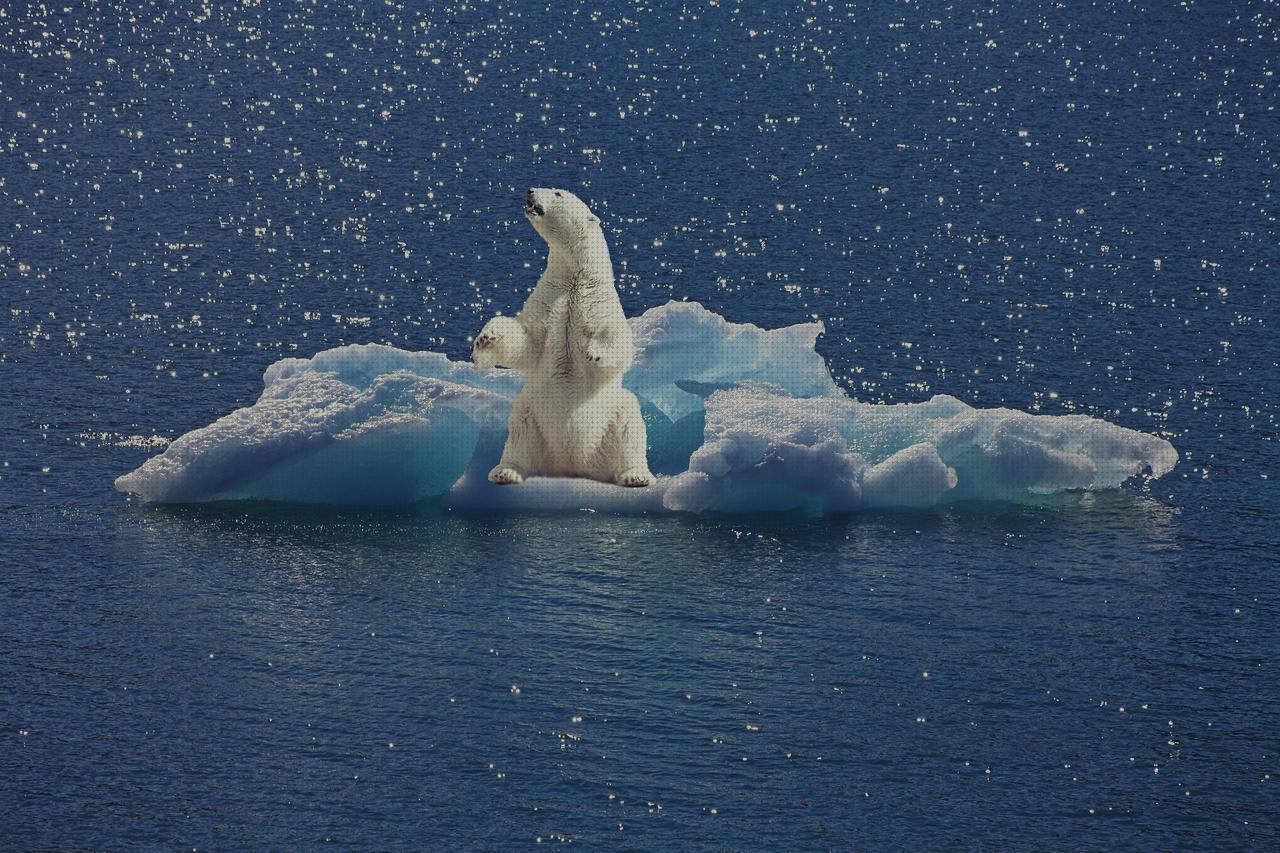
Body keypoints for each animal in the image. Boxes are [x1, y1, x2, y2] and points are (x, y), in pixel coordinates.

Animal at [471, 189, 655, 489]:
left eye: (557, 192)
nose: (530, 190)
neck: (574, 277)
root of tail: (572, 464)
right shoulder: (550, 299)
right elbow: (528, 341)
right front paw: (485, 339)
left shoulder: (599, 301)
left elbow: (617, 338)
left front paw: (594, 352)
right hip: (532, 413)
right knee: (519, 431)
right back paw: (505, 472)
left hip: (611, 413)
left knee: (629, 422)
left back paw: (635, 475)